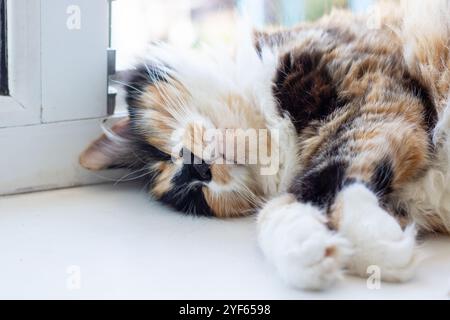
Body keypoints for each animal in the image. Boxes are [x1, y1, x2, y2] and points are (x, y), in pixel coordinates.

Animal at [79, 0, 450, 290]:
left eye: (164, 156)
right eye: (194, 194)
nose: (196, 168)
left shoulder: (375, 94)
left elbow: (329, 174)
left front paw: (369, 237)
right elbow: (280, 209)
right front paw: (319, 249)